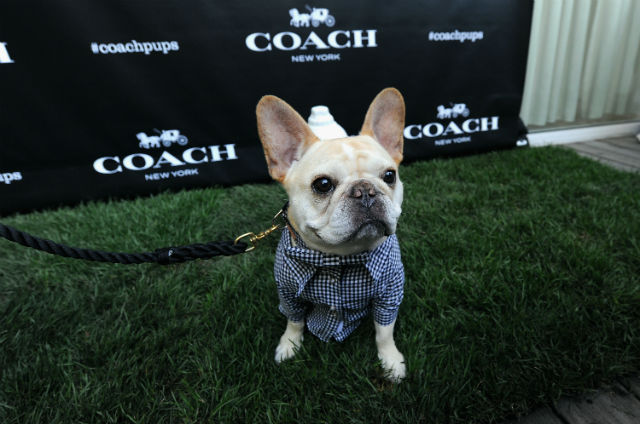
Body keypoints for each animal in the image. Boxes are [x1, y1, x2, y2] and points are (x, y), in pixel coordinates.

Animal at [255, 88, 404, 382]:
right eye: (322, 184)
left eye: (389, 176)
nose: (365, 191)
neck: (341, 256)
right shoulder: (288, 293)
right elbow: (294, 320)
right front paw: (289, 345)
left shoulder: (390, 294)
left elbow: (384, 331)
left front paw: (391, 361)